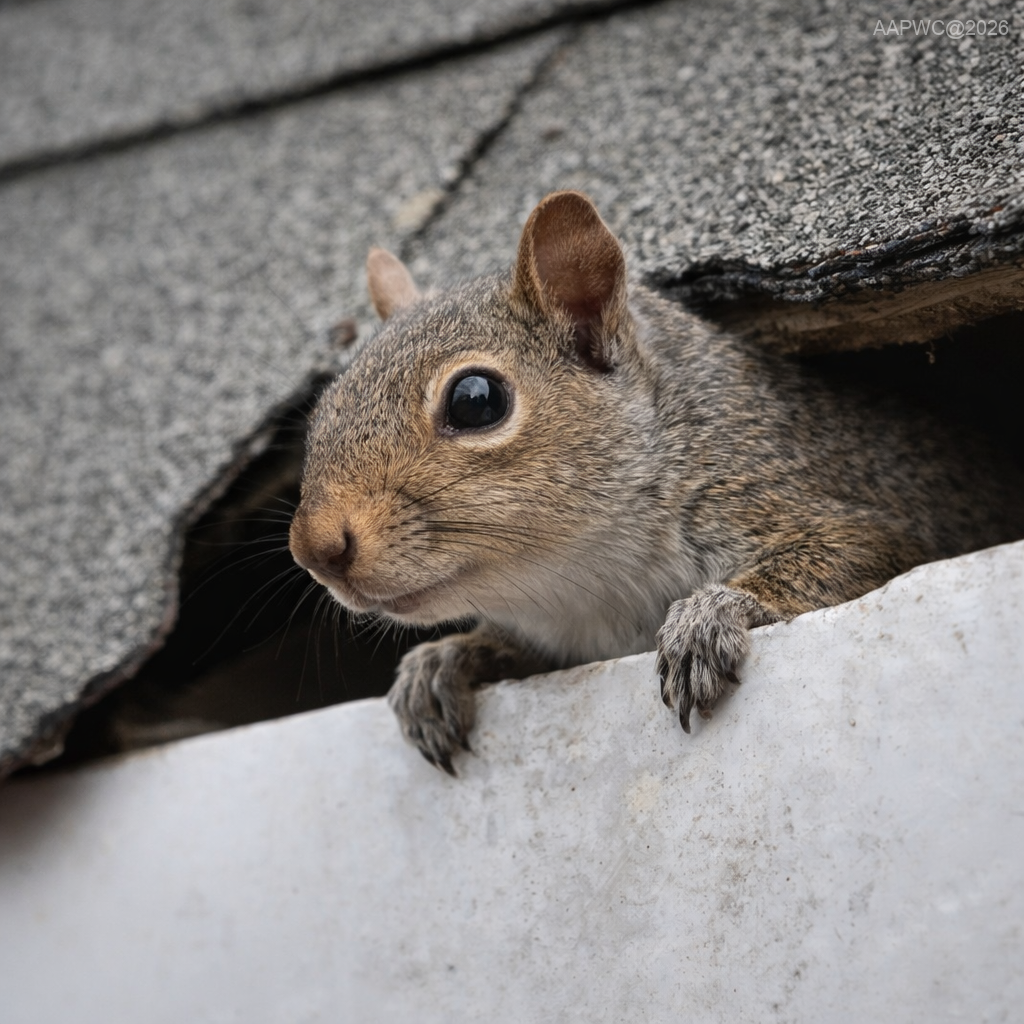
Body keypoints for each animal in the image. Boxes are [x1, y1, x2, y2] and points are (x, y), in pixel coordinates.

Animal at [289, 190, 1024, 775]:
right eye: (322, 408)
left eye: (477, 401)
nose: (316, 550)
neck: (587, 584)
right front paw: (444, 662)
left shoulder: (824, 500)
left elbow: (855, 553)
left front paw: (710, 615)